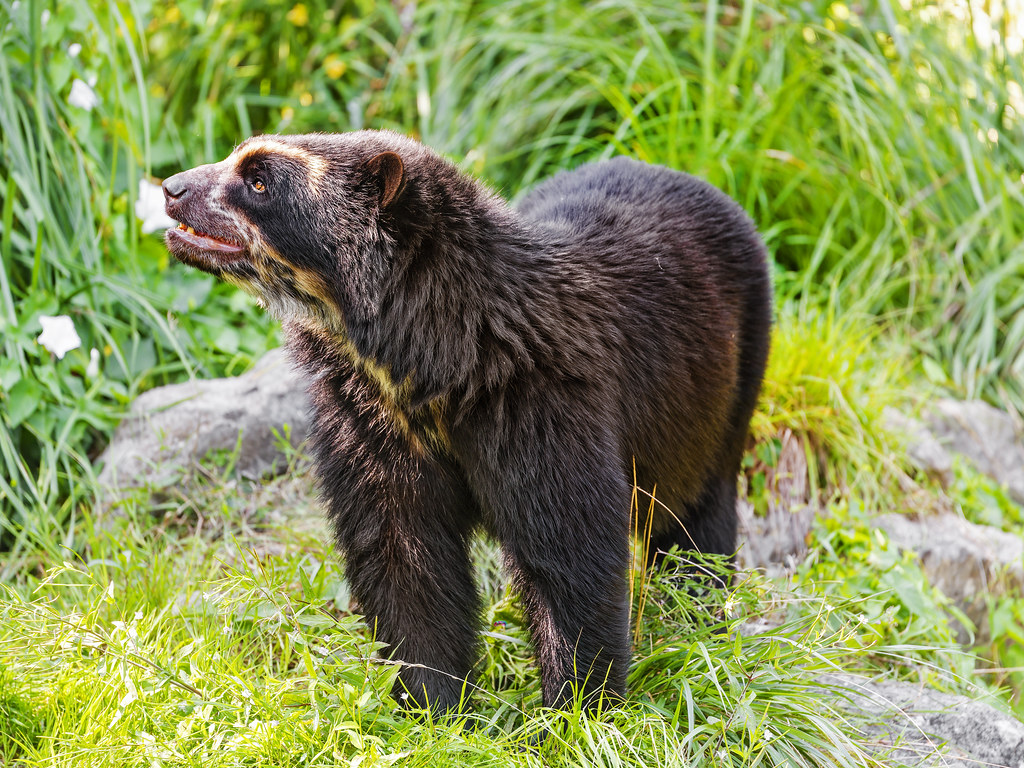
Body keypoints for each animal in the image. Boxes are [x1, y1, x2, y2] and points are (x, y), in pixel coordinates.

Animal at [161, 130, 772, 714]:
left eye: (259, 180)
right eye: (239, 153)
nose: (171, 188)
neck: (434, 368)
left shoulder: (540, 404)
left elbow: (570, 553)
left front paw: (577, 710)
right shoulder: (368, 423)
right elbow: (404, 557)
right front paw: (434, 704)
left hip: (716, 398)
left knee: (697, 516)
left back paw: (700, 611)